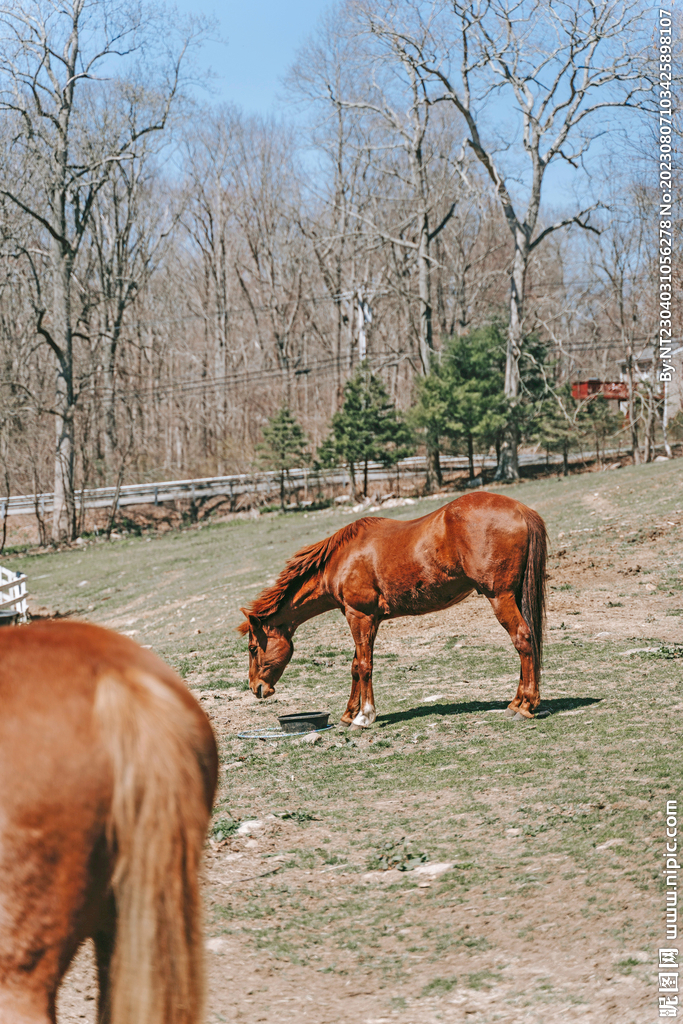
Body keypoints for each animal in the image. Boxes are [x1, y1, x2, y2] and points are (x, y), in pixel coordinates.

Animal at [239, 491, 547, 725]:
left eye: (253, 648)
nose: (256, 688)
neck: (342, 559)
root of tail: (520, 509)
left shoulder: (359, 616)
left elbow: (365, 666)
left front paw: (365, 716)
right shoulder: (368, 619)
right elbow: (355, 666)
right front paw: (349, 714)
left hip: (500, 597)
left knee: (522, 639)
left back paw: (525, 706)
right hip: (514, 595)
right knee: (528, 641)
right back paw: (516, 702)